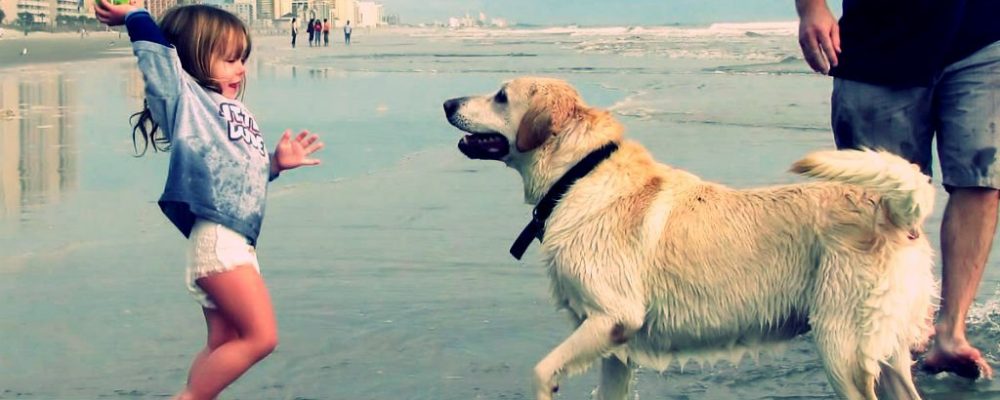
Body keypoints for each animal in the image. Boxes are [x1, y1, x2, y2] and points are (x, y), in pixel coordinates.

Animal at [443, 77, 938, 400]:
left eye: (501, 96)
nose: (447, 103)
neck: (577, 175)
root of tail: (892, 210)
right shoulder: (614, 347)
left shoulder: (613, 317)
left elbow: (540, 372)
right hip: (886, 352)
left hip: (841, 347)